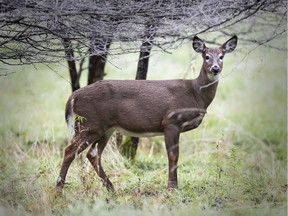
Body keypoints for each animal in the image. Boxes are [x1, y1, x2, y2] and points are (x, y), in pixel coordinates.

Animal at [55, 35, 236, 192]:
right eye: (206, 56)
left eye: (222, 56)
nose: (215, 68)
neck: (196, 94)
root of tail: (73, 97)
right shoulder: (171, 121)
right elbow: (173, 156)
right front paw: (172, 188)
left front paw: (173, 186)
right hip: (89, 123)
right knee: (70, 151)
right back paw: (59, 188)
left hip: (105, 128)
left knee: (92, 154)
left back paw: (111, 188)